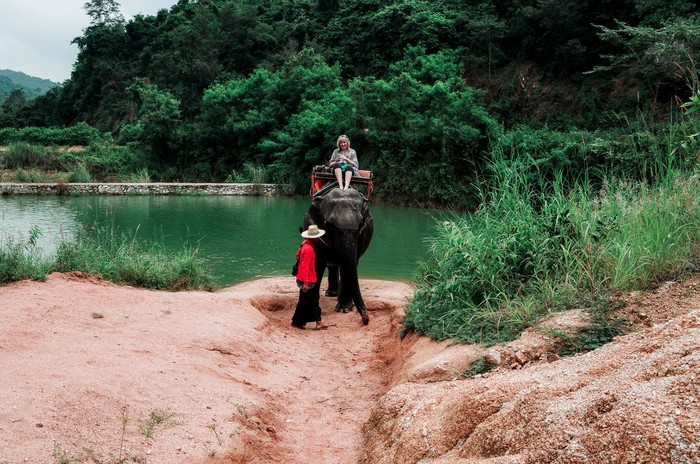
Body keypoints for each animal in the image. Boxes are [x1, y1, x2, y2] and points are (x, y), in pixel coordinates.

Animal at [302, 187, 374, 324]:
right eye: (331, 224)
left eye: (360, 224)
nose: (365, 320)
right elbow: (318, 262)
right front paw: (311, 310)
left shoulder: (361, 236)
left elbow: (350, 264)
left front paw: (344, 309)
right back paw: (332, 294)